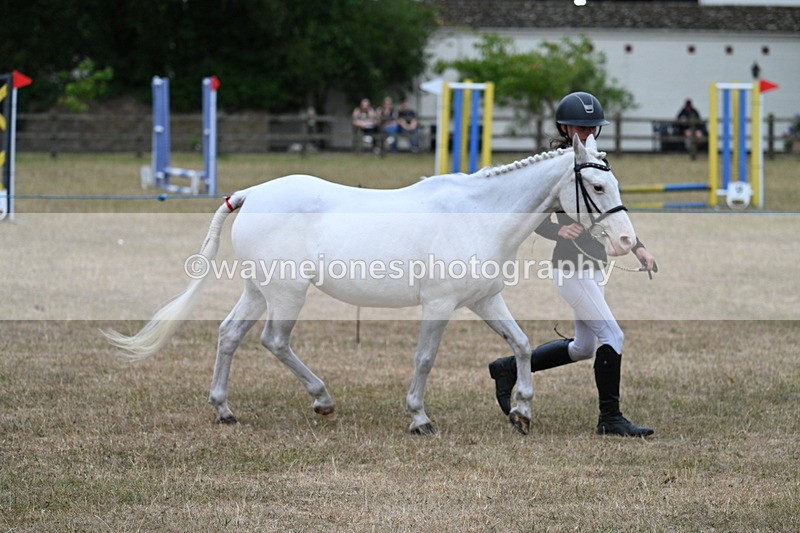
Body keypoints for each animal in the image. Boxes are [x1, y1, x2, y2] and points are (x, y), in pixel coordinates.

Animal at [105, 134, 636, 436]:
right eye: (598, 187)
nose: (627, 241)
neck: (477, 214)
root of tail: (251, 193)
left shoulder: (486, 299)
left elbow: (522, 344)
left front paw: (521, 410)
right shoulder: (440, 304)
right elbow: (425, 359)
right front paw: (420, 419)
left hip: (259, 290)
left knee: (229, 335)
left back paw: (225, 411)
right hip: (287, 293)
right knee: (274, 340)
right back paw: (321, 399)